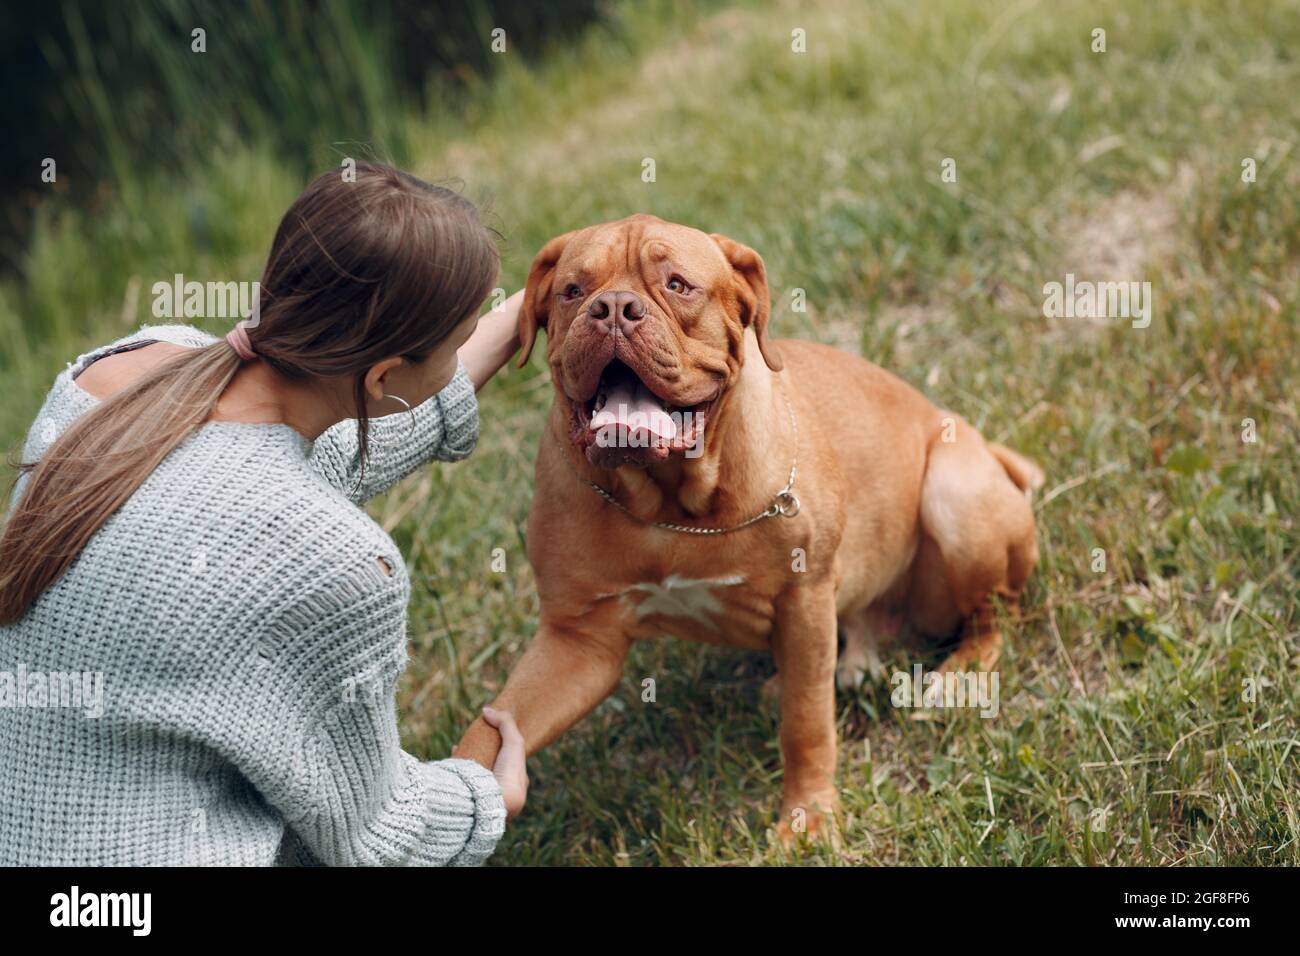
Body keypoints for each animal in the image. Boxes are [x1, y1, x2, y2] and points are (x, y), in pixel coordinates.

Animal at [457, 214, 1045, 837]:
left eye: (677, 285)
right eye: (572, 291)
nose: (613, 307)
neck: (667, 505)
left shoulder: (803, 598)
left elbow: (806, 724)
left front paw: (809, 818)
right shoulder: (579, 642)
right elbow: (490, 730)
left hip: (955, 496)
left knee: (995, 615)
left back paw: (962, 674)